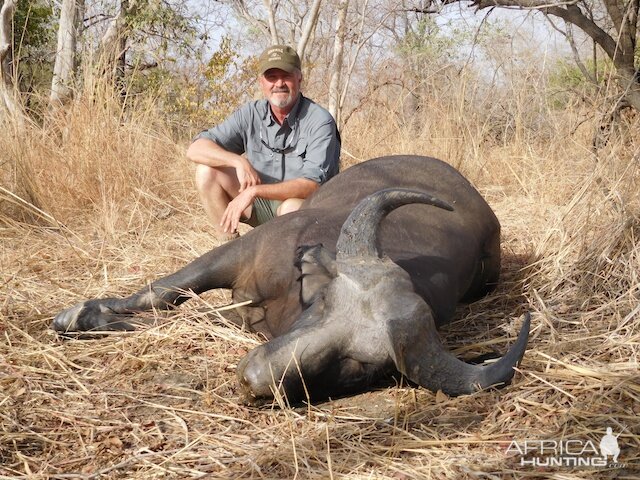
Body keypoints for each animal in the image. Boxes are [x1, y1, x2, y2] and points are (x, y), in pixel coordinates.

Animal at [52, 156, 528, 404]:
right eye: (320, 304)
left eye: (356, 366)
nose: (252, 376)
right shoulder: (238, 254)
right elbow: (166, 292)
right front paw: (79, 315)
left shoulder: (243, 313)